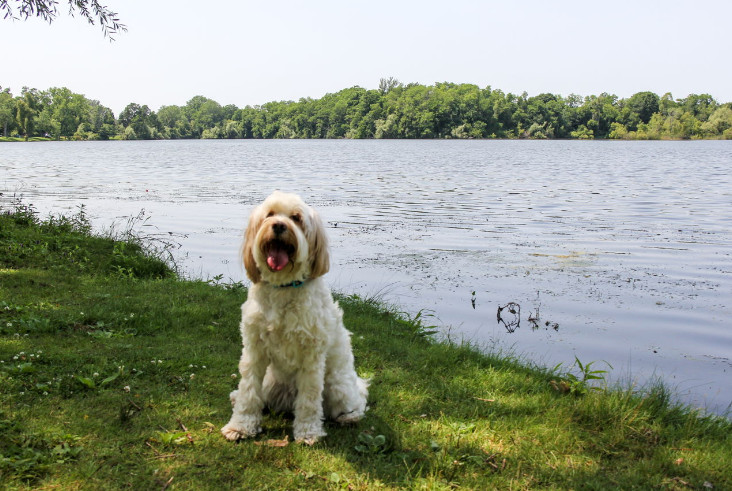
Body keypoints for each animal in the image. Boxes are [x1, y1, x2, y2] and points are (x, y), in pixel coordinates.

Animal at [220, 192, 368, 446]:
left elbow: (309, 399)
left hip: (337, 386)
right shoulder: (254, 349)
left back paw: (349, 416)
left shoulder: (311, 356)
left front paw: (308, 432)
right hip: (270, 382)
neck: (284, 287)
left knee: (354, 404)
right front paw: (240, 426)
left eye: (296, 218)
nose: (279, 226)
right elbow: (249, 391)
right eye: (269, 214)